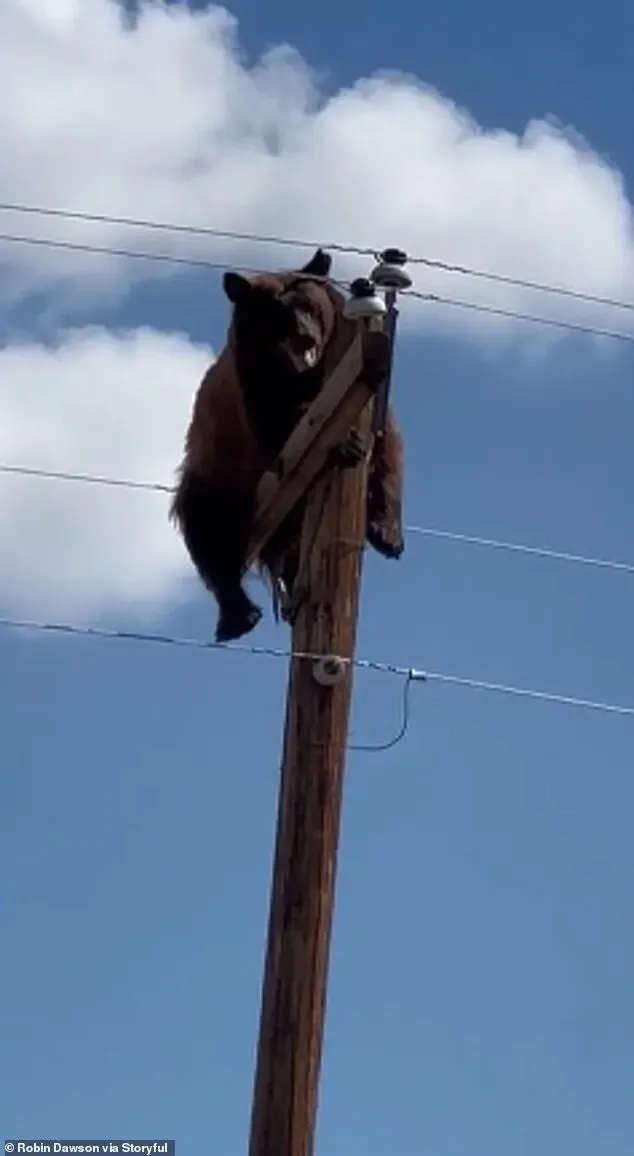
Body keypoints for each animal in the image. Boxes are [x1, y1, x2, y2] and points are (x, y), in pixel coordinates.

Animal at [170, 247, 404, 644]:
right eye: (276, 313)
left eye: (309, 306)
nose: (304, 334)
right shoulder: (252, 381)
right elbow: (277, 421)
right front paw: (342, 443)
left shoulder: (358, 354)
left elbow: (386, 439)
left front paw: (387, 531)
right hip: (222, 470)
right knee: (205, 524)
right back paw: (238, 616)